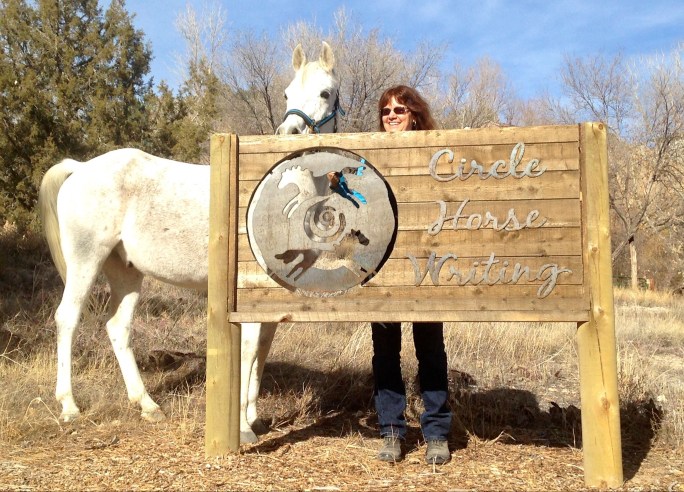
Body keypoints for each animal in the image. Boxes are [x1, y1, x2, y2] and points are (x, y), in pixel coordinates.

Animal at [38, 41, 342, 444]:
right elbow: (249, 350)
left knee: (117, 328)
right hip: (86, 260)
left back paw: (148, 405)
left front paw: (254, 417)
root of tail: (81, 167)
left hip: (126, 272)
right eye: (288, 94)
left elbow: (262, 350)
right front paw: (242, 428)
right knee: (67, 319)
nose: (289, 133)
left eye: (325, 93)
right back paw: (69, 406)